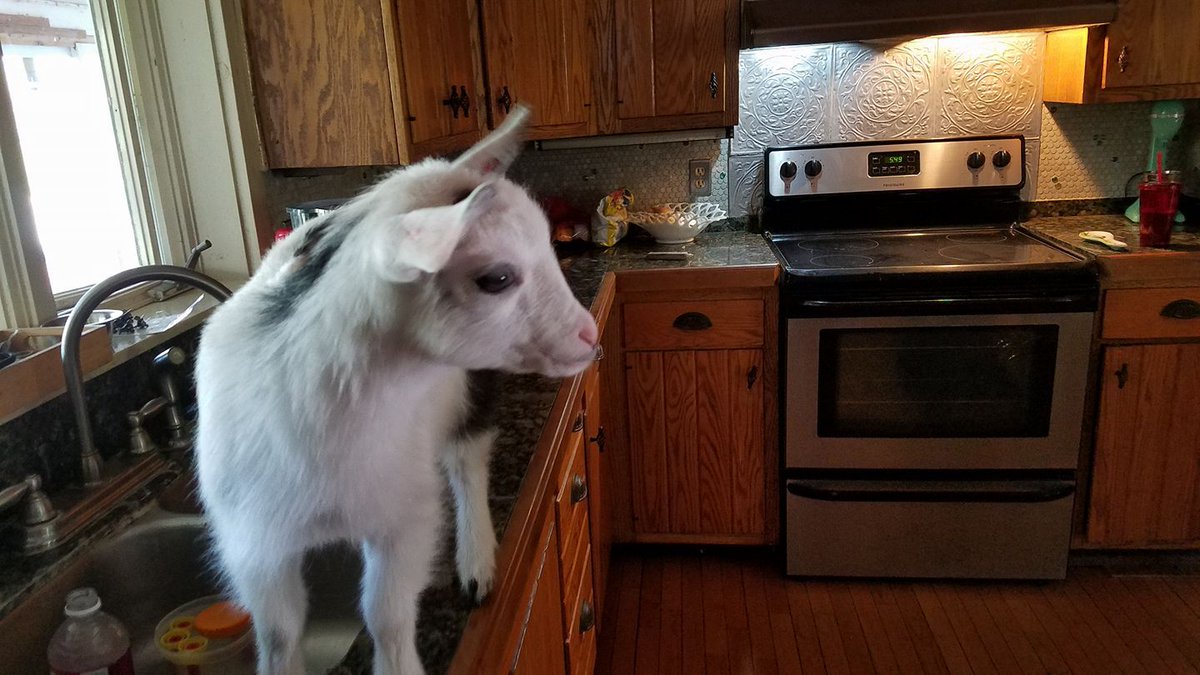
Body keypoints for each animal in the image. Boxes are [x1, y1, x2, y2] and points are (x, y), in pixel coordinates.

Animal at [195, 107, 598, 675]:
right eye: (496, 278)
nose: (589, 336)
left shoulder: (403, 517)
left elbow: (385, 613)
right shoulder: (254, 546)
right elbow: (278, 633)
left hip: (471, 389)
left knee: (468, 458)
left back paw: (476, 563)